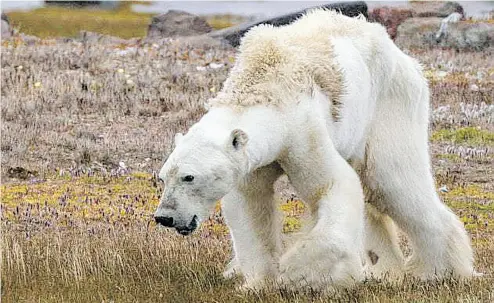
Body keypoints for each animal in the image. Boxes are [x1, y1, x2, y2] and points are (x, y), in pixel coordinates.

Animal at [153, 8, 474, 290]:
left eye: (189, 177)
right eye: (163, 177)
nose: (164, 217)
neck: (263, 86)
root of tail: (404, 57)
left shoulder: (302, 130)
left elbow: (332, 185)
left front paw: (300, 274)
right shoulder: (252, 160)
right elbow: (249, 205)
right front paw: (258, 282)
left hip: (389, 104)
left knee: (392, 181)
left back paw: (438, 271)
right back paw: (383, 269)